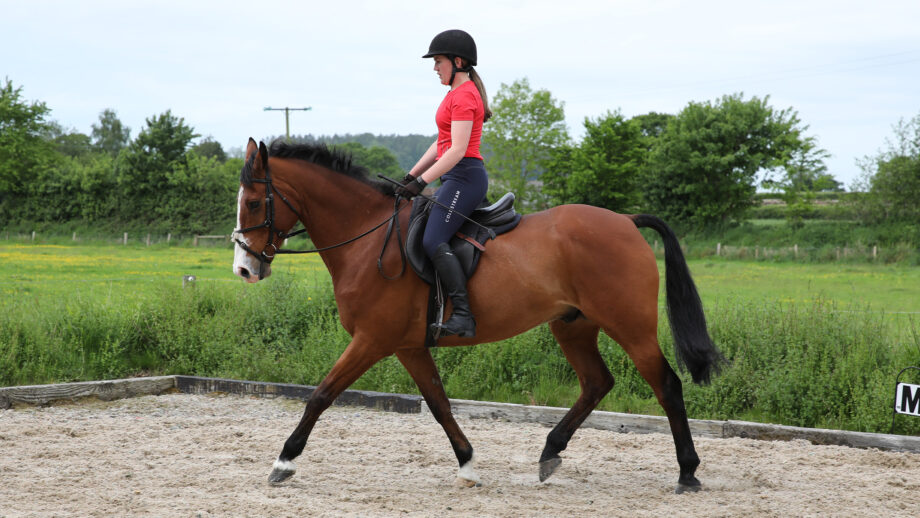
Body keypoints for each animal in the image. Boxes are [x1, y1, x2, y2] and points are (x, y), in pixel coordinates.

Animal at [231, 138, 724, 493]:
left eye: (254, 203)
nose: (245, 269)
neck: (367, 238)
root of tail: (625, 220)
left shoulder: (372, 340)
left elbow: (321, 395)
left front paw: (284, 461)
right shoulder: (408, 345)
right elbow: (439, 403)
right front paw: (468, 465)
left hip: (630, 326)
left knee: (666, 385)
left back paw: (687, 473)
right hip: (573, 325)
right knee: (596, 383)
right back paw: (549, 453)